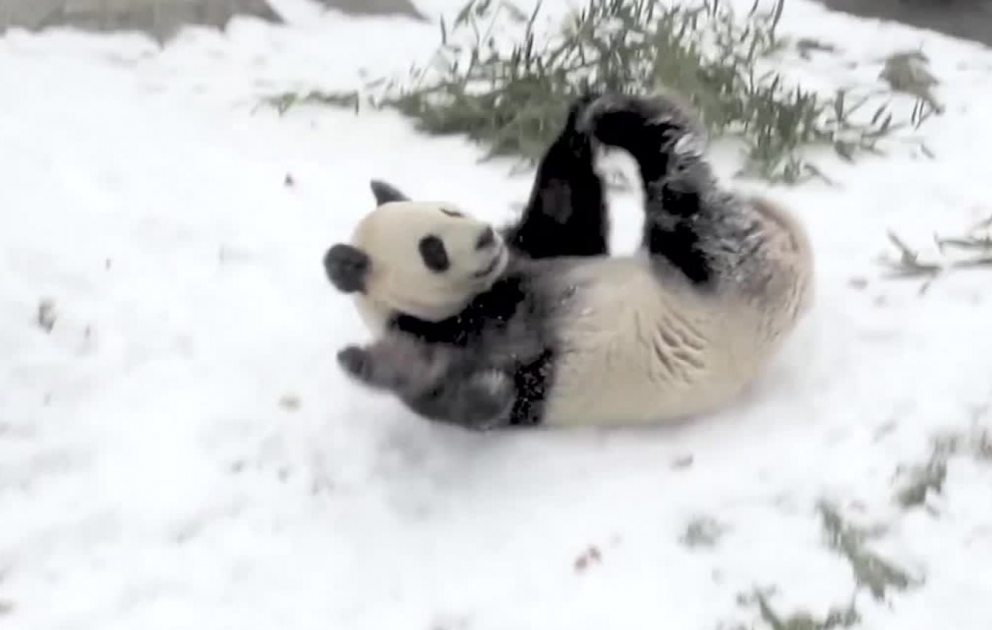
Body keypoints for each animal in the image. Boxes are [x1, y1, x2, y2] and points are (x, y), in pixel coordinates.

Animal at [323, 91, 814, 430]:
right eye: (433, 250)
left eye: (451, 211)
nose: (485, 238)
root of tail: (795, 249)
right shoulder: (461, 341)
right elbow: (461, 393)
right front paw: (359, 360)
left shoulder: (539, 252)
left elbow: (565, 212)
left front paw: (576, 124)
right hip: (720, 273)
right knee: (683, 196)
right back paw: (637, 123)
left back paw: (614, 116)